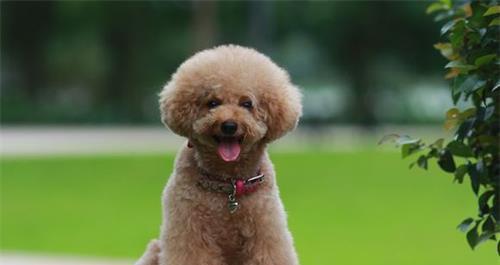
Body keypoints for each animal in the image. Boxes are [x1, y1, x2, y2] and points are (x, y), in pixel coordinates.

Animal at [135, 44, 302, 264]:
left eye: (247, 103)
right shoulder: (188, 230)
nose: (229, 125)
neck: (228, 184)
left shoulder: (266, 229)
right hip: (154, 249)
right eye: (213, 103)